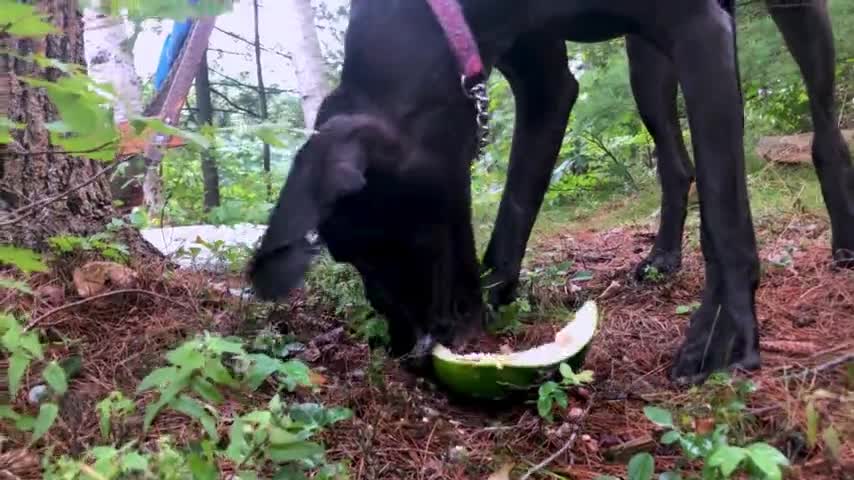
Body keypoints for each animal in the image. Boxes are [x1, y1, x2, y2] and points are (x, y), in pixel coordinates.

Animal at [251, 0, 764, 384]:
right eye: (348, 258)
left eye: (390, 241)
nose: (408, 353)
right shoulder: (543, 81)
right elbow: (515, 205)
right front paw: (496, 297)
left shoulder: (699, 24)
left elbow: (725, 208)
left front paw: (722, 331)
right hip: (647, 56)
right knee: (677, 164)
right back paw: (662, 258)